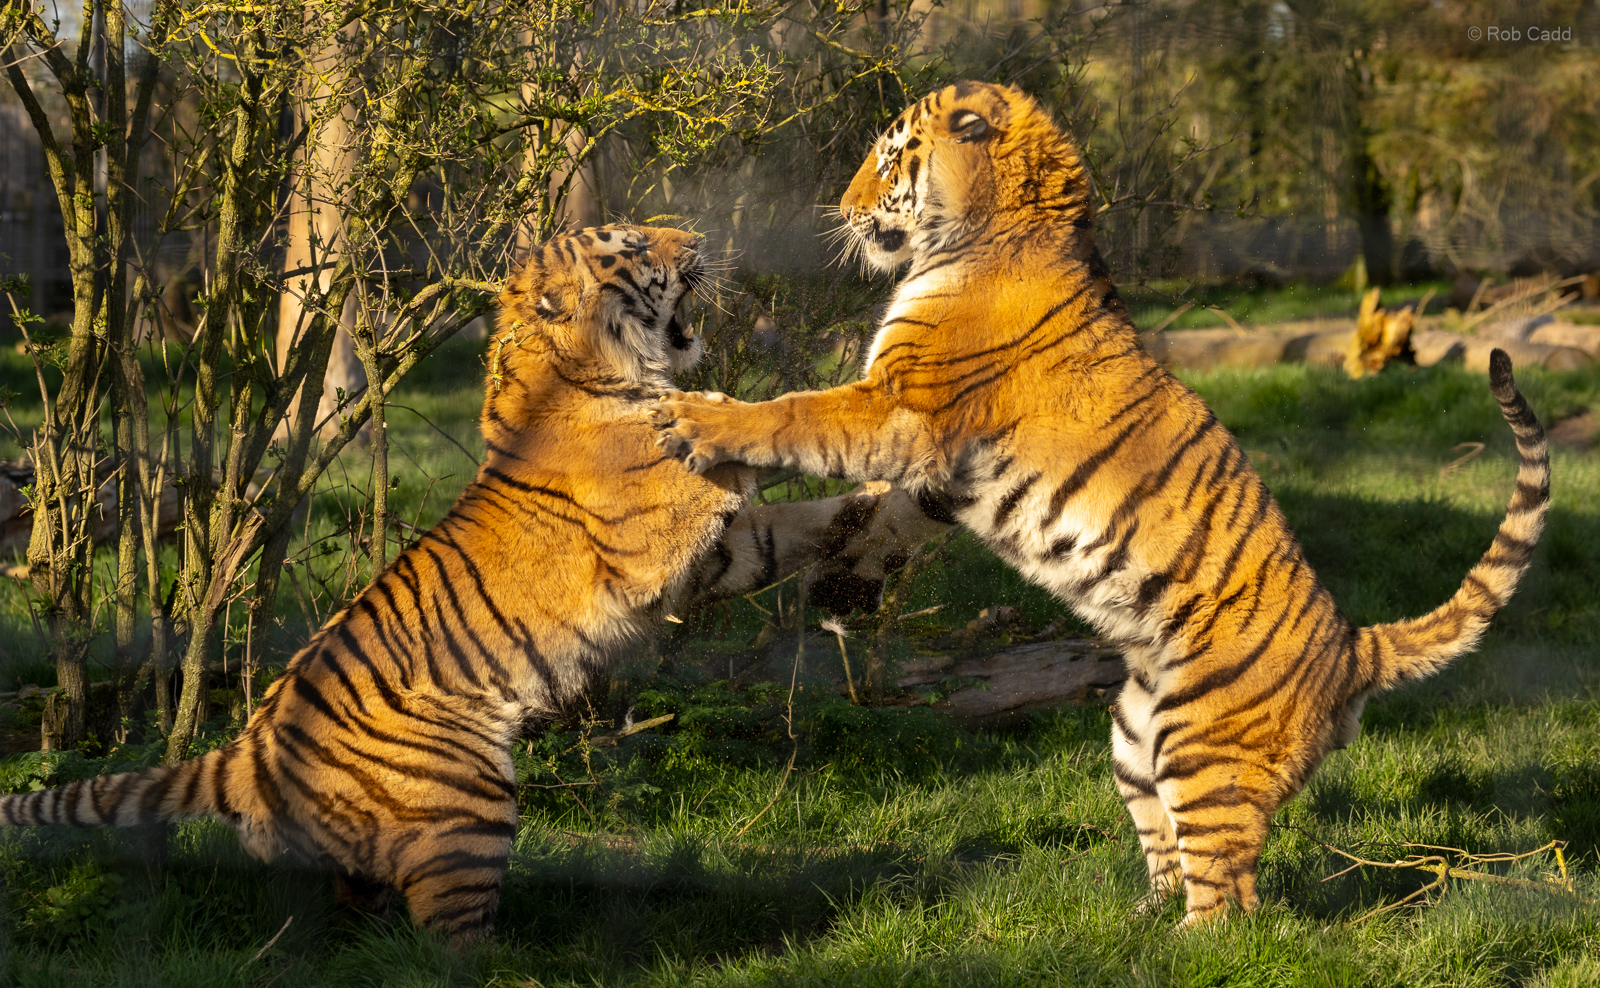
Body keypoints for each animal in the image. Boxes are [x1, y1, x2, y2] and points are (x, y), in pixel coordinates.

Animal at [0, 224, 948, 943]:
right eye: (635, 244)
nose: (699, 240)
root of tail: (249, 750)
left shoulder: (715, 557)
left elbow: (799, 521)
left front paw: (880, 507)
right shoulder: (665, 534)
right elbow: (754, 437)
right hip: (470, 802)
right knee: (446, 946)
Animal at [649, 83, 1551, 926]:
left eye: (891, 155)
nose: (842, 209)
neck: (995, 228)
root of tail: (1352, 646)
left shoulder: (903, 407)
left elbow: (794, 414)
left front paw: (694, 418)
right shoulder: (935, 463)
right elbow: (878, 512)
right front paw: (840, 583)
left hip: (1201, 746)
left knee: (1233, 905)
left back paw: (1179, 944)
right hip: (1134, 731)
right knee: (1169, 848)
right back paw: (1140, 916)